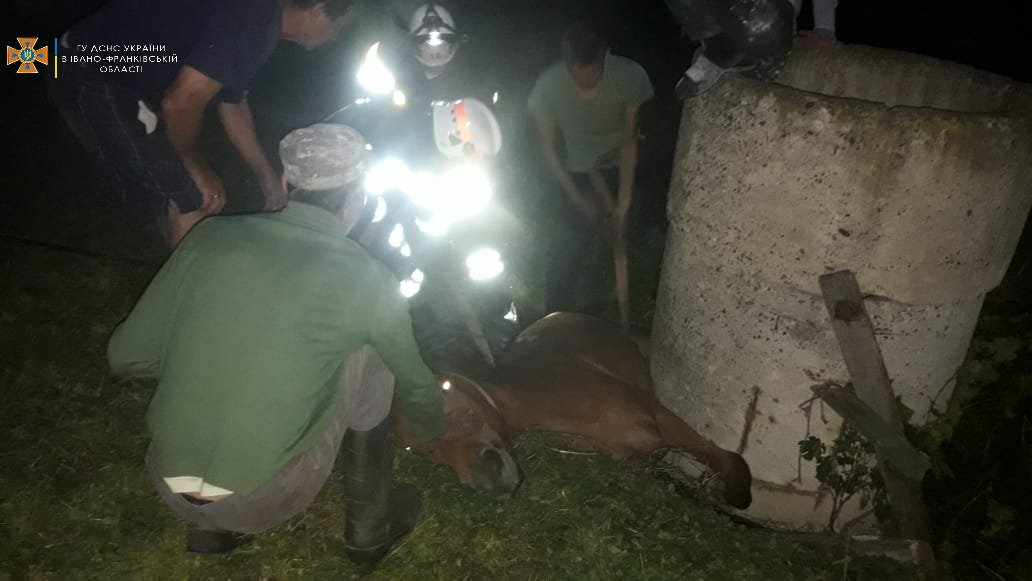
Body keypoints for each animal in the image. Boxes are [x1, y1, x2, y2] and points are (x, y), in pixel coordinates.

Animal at [392, 313, 751, 509]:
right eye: (431, 452)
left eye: (441, 407)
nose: (486, 483)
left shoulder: (657, 413)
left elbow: (719, 454)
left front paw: (737, 488)